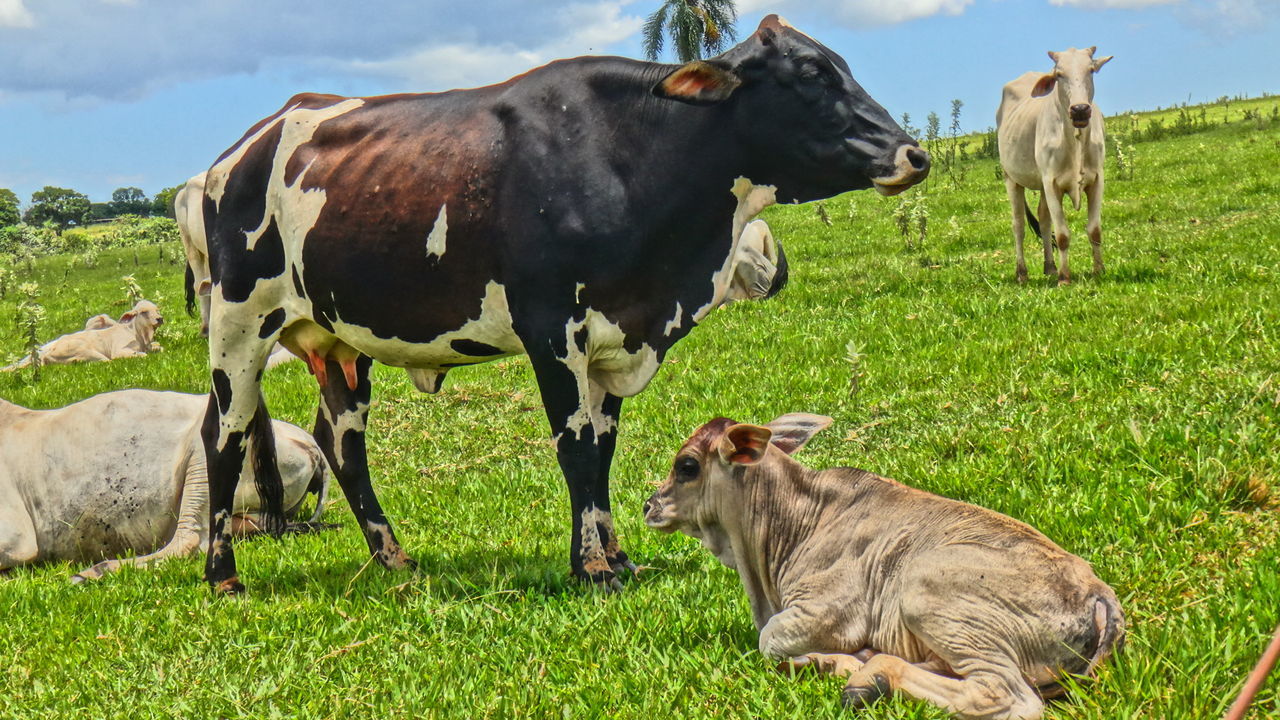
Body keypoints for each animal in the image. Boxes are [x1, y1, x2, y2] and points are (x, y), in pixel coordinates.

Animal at [194, 14, 926, 591]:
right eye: (811, 75)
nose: (914, 154)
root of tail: (239, 151)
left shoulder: (614, 339)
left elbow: (601, 449)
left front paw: (617, 557)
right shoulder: (551, 329)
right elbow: (574, 447)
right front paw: (593, 569)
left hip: (342, 341)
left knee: (341, 441)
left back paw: (393, 557)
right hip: (240, 322)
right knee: (224, 433)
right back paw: (223, 574)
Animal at [645, 415, 1126, 717]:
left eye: (686, 465)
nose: (649, 505)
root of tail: (1098, 593)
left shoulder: (821, 613)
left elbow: (769, 641)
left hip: (930, 595)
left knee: (1006, 698)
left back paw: (866, 677)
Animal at [998, 45, 1111, 283]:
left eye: (1091, 70)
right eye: (1059, 74)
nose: (1080, 109)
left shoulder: (1097, 180)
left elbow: (1094, 230)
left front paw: (1099, 270)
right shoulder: (1051, 183)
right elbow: (1062, 235)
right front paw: (1064, 277)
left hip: (1041, 185)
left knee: (1043, 220)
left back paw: (1050, 267)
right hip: (1011, 178)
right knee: (1018, 225)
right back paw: (1022, 273)